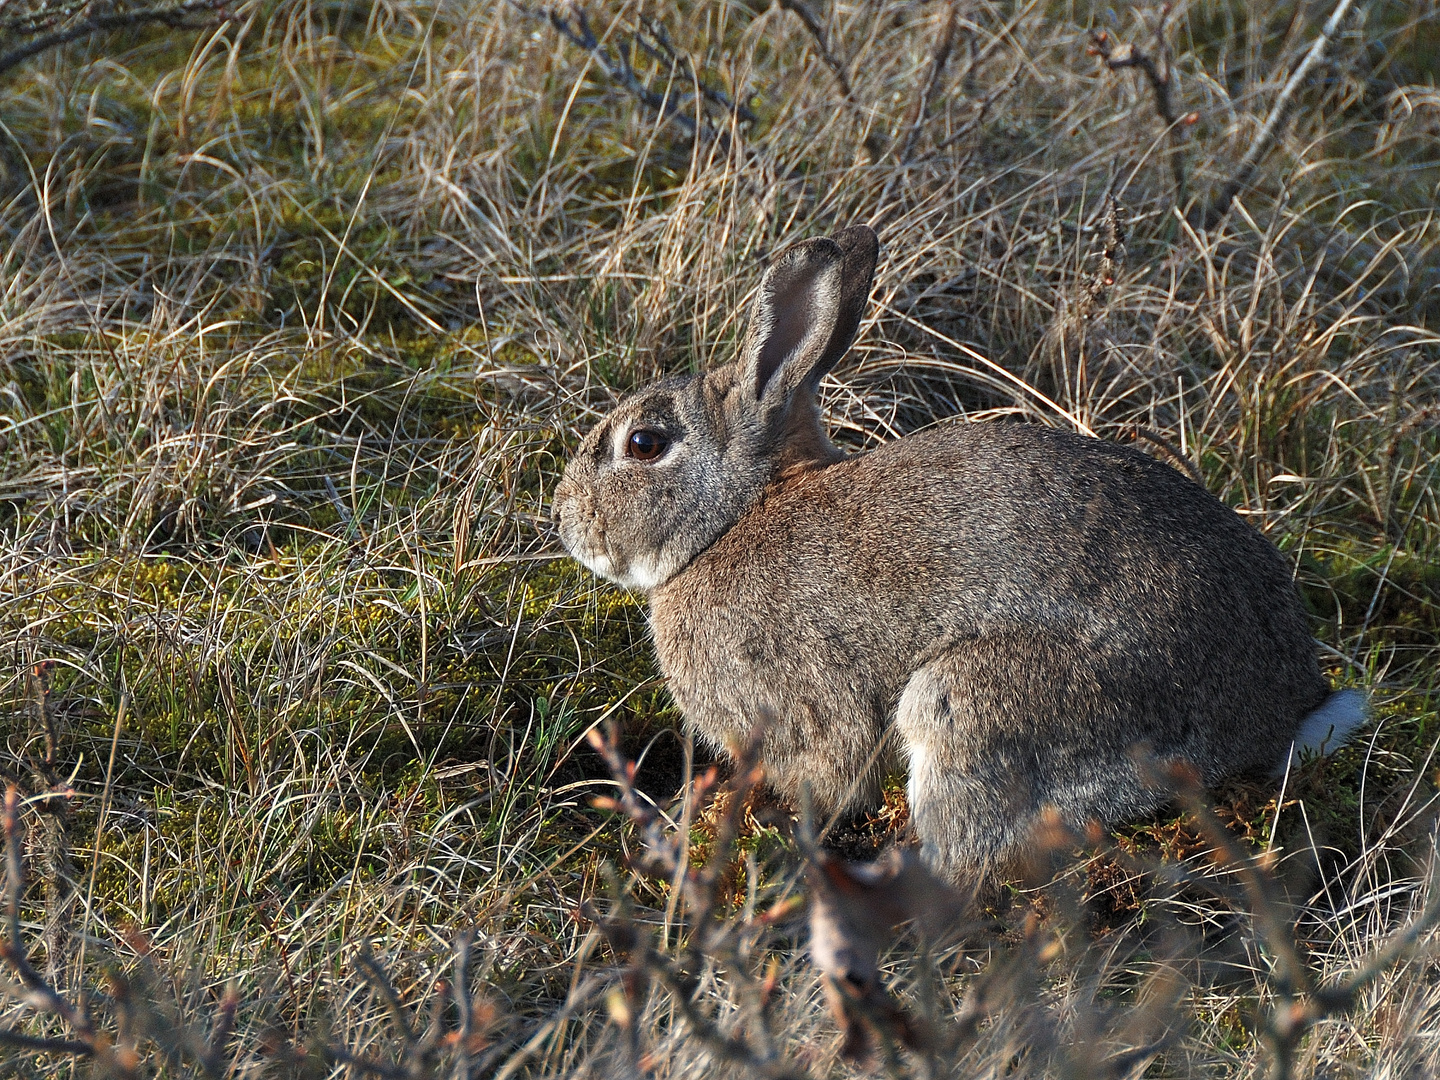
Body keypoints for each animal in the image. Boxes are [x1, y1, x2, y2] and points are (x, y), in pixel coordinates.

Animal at [547, 226, 1359, 887]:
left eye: (644, 444)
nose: (566, 522)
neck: (735, 516)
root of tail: (1276, 715)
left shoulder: (803, 710)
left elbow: (829, 776)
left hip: (974, 705)